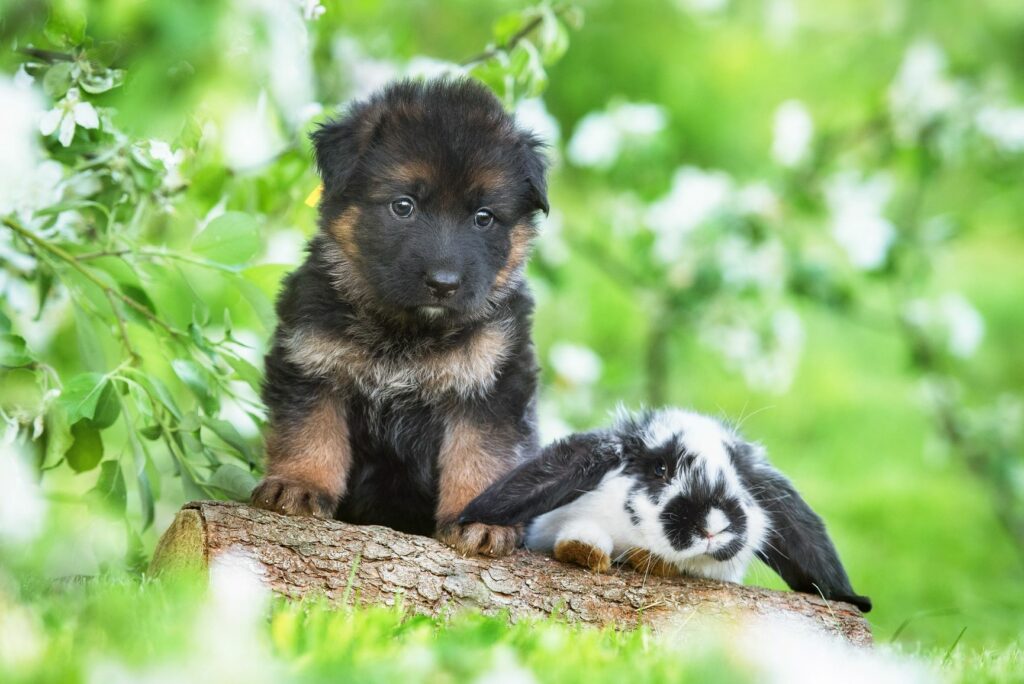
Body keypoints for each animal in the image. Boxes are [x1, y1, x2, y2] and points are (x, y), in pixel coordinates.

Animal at [250, 77, 548, 557]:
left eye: (483, 217)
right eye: (403, 206)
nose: (443, 283)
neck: (406, 333)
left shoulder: (492, 383)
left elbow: (482, 455)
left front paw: (482, 523)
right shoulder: (310, 362)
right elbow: (310, 430)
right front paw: (298, 484)